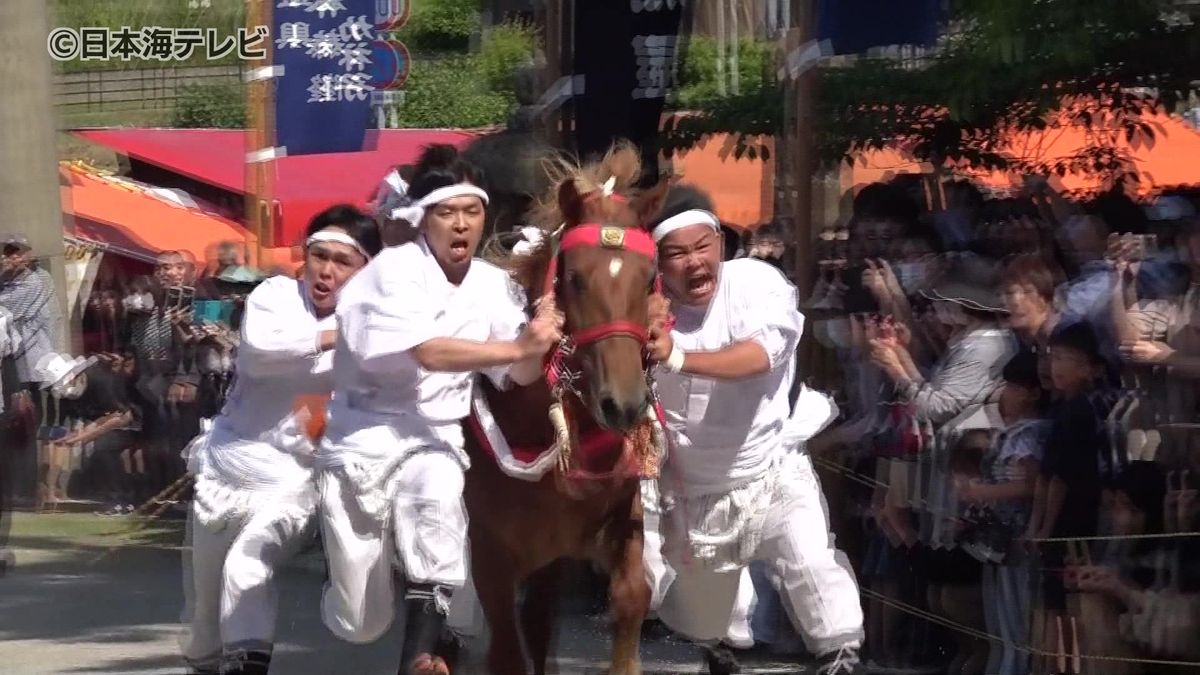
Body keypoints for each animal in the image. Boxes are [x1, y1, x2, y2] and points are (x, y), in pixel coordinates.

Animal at [460, 142, 672, 672]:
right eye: (574, 279)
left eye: (650, 279)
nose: (624, 403)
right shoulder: (491, 558)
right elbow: (506, 651)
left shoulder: (618, 524)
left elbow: (632, 600)